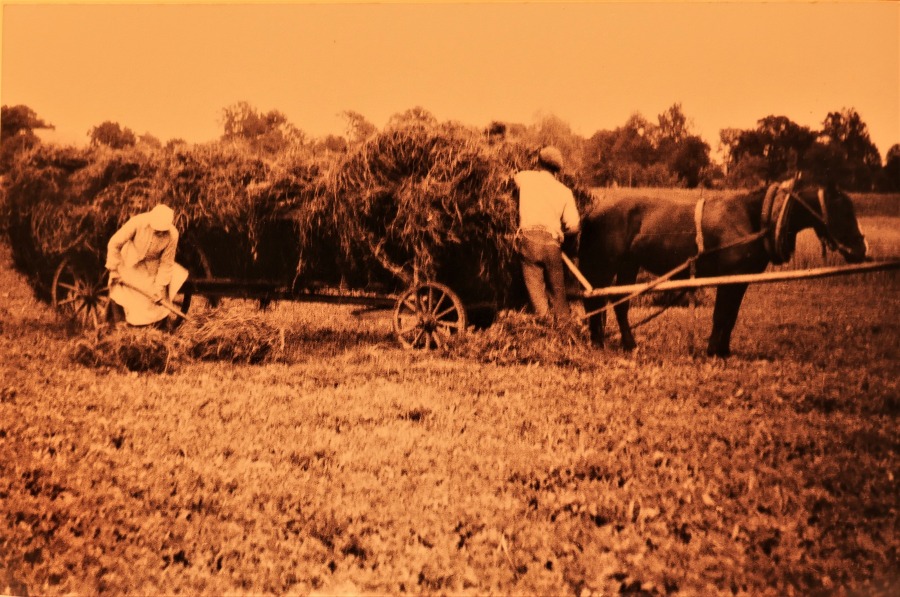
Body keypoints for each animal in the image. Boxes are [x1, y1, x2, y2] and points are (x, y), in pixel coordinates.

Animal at [577, 178, 869, 357]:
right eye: (843, 210)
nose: (861, 249)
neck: (753, 217)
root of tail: (593, 211)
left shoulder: (740, 279)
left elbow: (731, 315)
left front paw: (724, 349)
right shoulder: (728, 277)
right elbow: (720, 314)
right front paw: (713, 350)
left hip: (629, 264)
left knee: (618, 303)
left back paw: (626, 343)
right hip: (604, 265)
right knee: (595, 301)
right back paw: (599, 341)